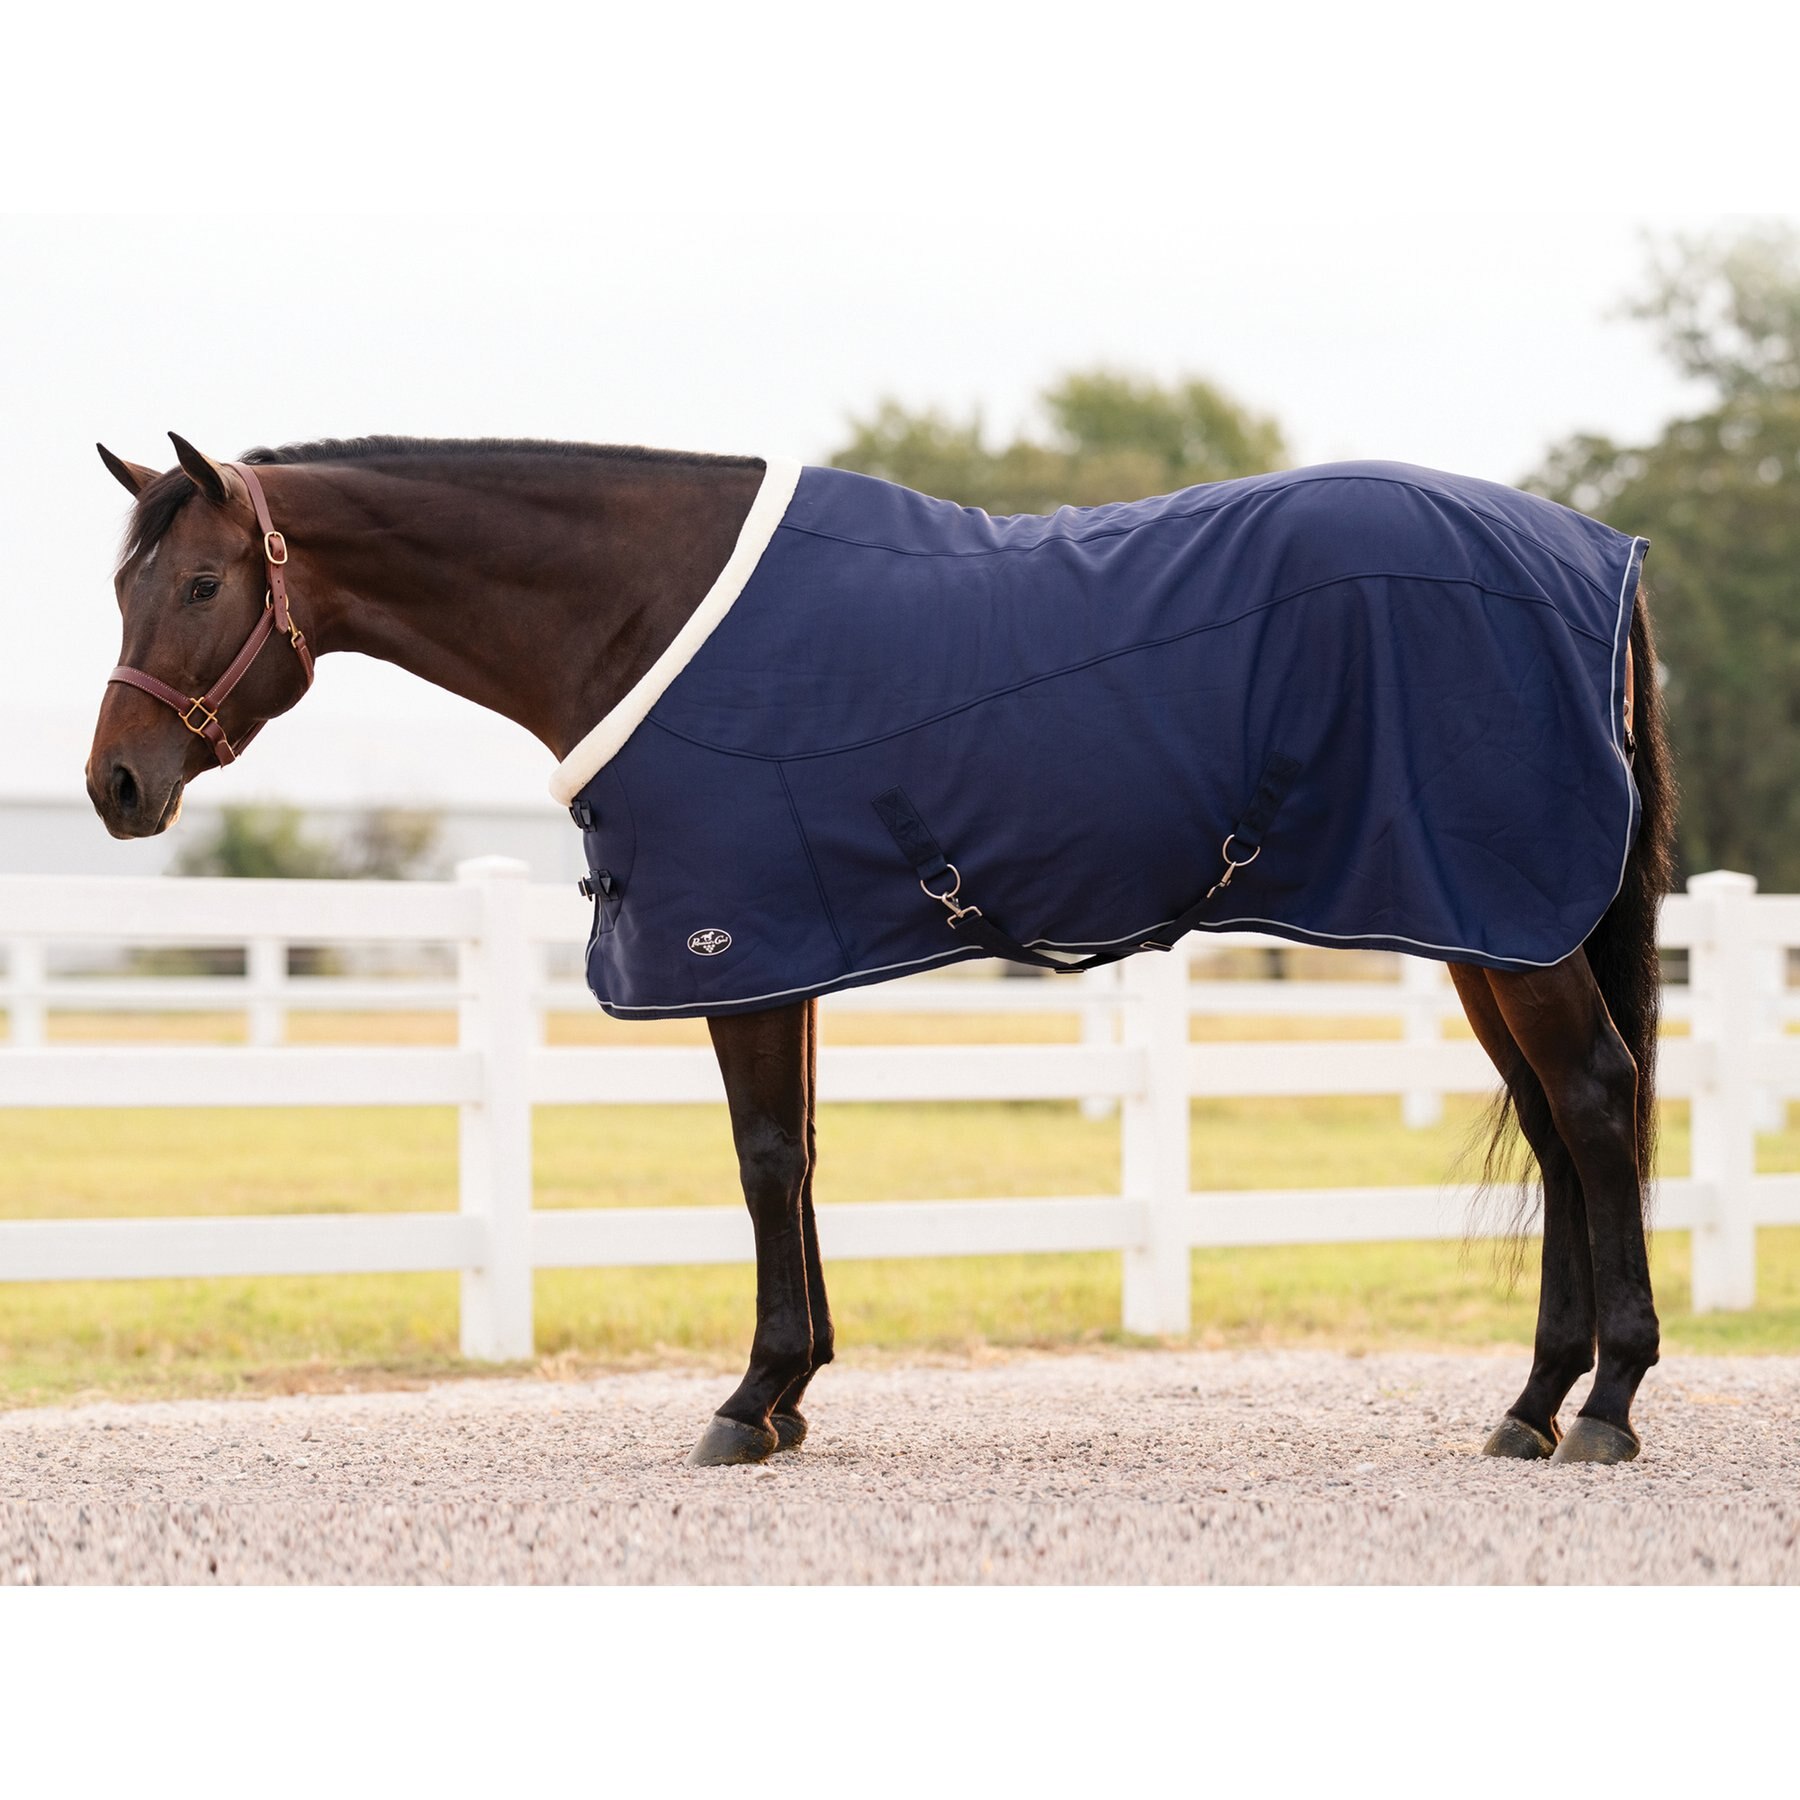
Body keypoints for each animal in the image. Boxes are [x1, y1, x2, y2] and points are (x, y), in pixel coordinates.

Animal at [87, 433, 1675, 1468]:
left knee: (1596, 1103)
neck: (639, 609)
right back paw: (1532, 1404)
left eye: (206, 585)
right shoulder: (781, 947)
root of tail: (1597, 554)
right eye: (121, 586)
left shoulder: (733, 938)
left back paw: (1606, 1408)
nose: (116, 787)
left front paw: (750, 1402)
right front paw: (794, 1392)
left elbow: (760, 1160)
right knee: (1553, 1124)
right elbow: (796, 1154)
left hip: (1507, 922)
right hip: (1483, 923)